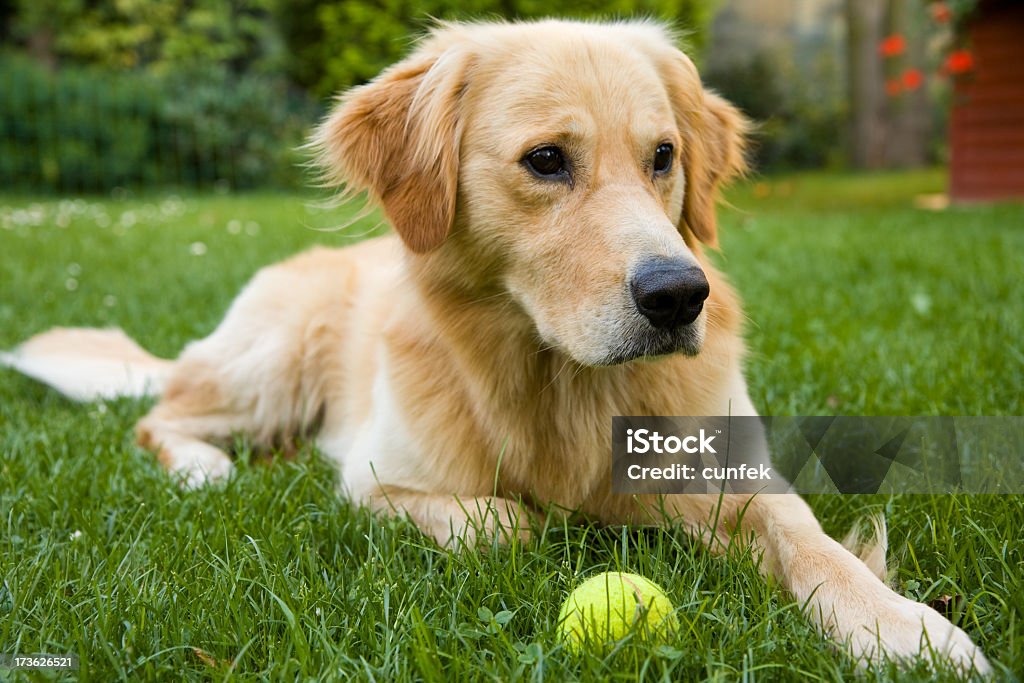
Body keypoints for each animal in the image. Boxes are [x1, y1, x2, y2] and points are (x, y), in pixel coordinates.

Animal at [2, 18, 991, 675]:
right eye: (547, 159)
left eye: (663, 156)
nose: (679, 296)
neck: (565, 386)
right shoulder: (375, 480)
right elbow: (506, 522)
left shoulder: (731, 474)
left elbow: (811, 540)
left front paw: (904, 629)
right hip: (270, 363)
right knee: (162, 415)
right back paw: (206, 467)